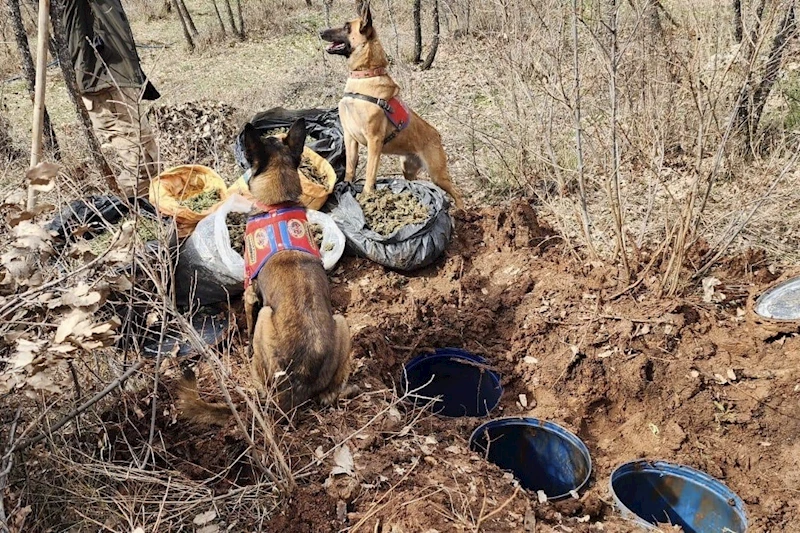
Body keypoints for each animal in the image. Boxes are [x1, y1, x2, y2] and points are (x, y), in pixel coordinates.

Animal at [178, 118, 354, 422]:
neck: (277, 203)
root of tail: (293, 390)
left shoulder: (250, 293)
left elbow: (247, 324)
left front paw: (247, 347)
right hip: (341, 322)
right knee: (330, 393)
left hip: (266, 317)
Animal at [318, 0, 466, 208]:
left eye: (347, 27)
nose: (320, 31)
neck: (365, 76)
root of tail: (437, 135)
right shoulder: (349, 137)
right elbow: (350, 169)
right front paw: (346, 187)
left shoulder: (374, 141)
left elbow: (370, 174)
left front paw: (366, 196)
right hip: (408, 170)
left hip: (437, 174)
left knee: (457, 192)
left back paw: (461, 210)